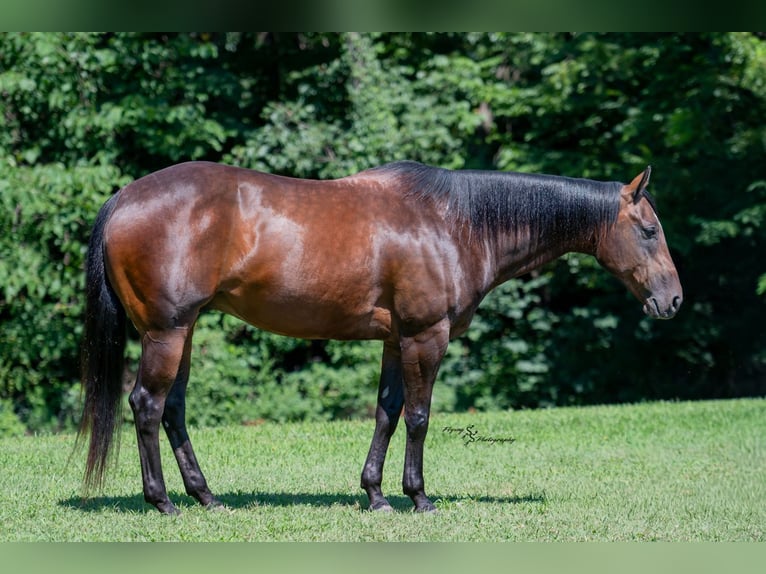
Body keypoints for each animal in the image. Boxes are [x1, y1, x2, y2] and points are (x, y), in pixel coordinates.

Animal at [79, 160, 682, 514]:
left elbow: (387, 413)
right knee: (147, 405)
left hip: (182, 331)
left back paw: (206, 497)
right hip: (166, 332)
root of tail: (123, 199)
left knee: (173, 410)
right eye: (649, 231)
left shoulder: (397, 340)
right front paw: (418, 497)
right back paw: (163, 502)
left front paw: (375, 494)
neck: (454, 221)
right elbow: (418, 417)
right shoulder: (426, 337)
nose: (673, 300)